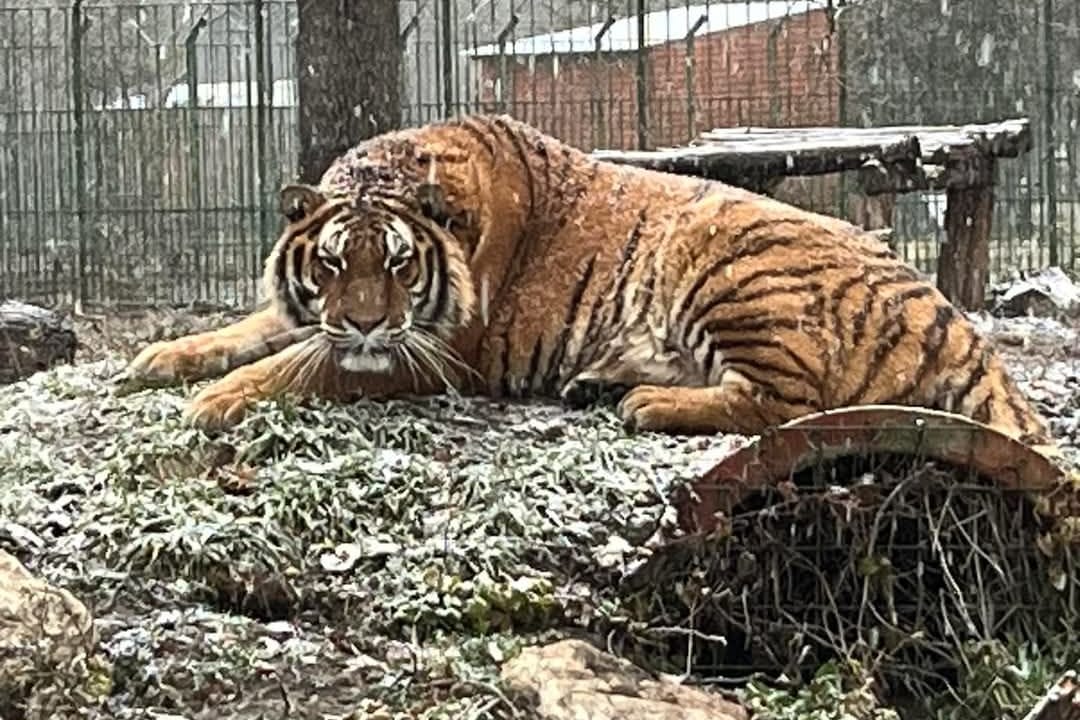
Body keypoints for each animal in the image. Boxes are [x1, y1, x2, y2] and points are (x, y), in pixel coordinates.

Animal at [120, 111, 1054, 451]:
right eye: (330, 263)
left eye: (399, 265)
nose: (361, 323)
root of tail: (953, 318)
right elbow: (252, 330)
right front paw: (163, 358)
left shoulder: (433, 354)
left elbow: (296, 365)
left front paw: (215, 399)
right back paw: (602, 383)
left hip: (725, 258)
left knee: (793, 406)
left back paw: (646, 402)